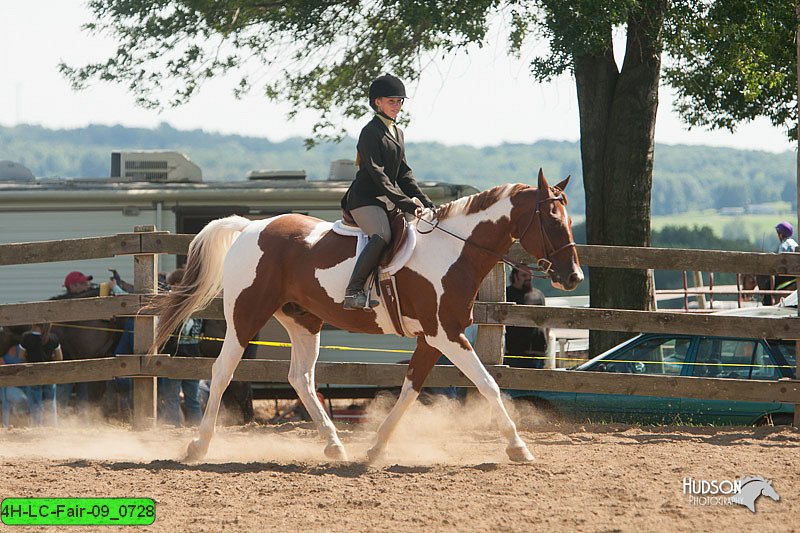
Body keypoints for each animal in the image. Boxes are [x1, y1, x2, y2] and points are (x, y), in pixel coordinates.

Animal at [153, 169, 584, 462]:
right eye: (552, 220)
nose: (573, 277)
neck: (453, 251)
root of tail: (250, 227)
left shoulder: (433, 338)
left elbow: (410, 389)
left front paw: (376, 446)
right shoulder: (446, 334)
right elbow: (489, 384)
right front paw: (518, 447)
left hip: (303, 321)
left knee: (301, 378)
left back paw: (334, 445)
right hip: (246, 317)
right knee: (222, 371)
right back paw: (198, 446)